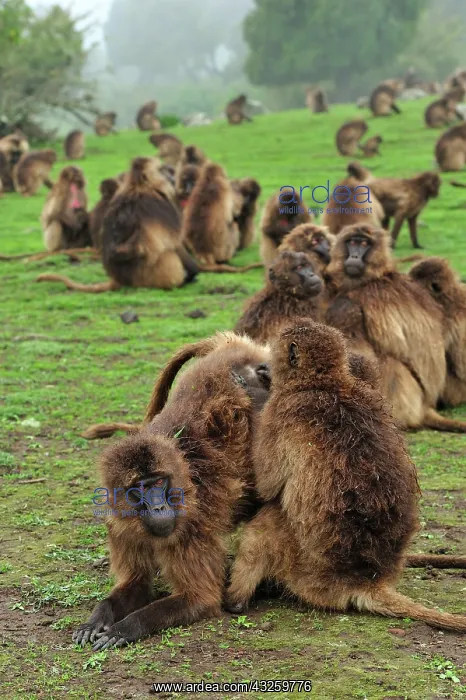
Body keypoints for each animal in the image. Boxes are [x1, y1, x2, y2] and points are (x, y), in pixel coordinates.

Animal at [38, 158, 199, 292]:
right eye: (162, 170)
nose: (172, 177)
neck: (138, 186)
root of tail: (118, 280)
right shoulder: (159, 205)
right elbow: (173, 243)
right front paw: (194, 271)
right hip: (156, 275)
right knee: (166, 254)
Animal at [72, 332, 271, 649]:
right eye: (140, 488)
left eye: (158, 483)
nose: (158, 507)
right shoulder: (121, 528)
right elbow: (136, 585)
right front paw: (97, 618)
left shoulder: (191, 529)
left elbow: (199, 598)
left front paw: (125, 628)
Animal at [224, 320, 466, 632]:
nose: (264, 367)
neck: (326, 381)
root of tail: (365, 580)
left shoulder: (281, 412)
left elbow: (267, 486)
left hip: (307, 571)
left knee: (265, 524)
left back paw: (235, 601)